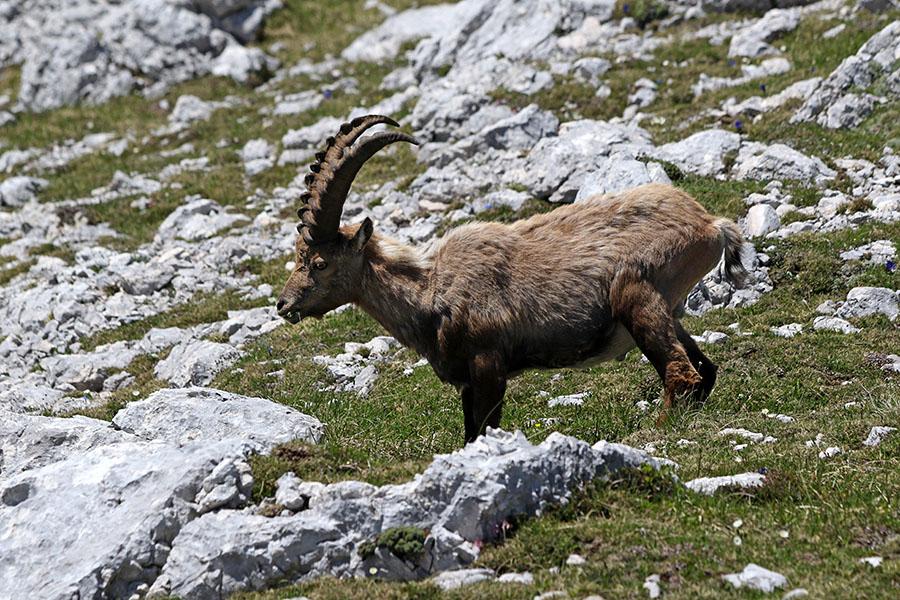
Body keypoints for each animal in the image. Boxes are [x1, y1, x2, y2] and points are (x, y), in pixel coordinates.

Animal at [276, 115, 747, 444]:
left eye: (319, 263)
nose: (283, 305)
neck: (431, 291)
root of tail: (710, 224)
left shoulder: (488, 363)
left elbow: (485, 427)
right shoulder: (468, 380)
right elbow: (470, 433)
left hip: (638, 298)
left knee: (681, 373)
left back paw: (655, 431)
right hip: (668, 312)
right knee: (704, 370)